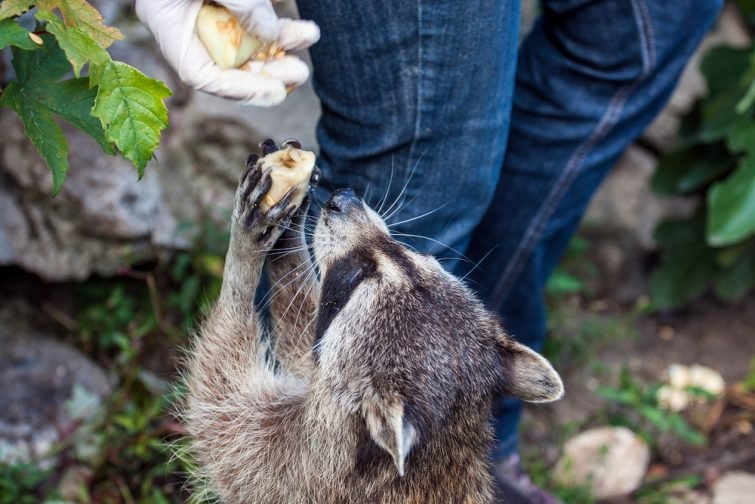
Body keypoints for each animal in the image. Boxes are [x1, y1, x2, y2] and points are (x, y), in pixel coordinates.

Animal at [185, 144, 560, 502]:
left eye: (356, 278)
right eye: (408, 254)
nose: (343, 199)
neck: (444, 441)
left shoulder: (304, 472)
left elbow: (219, 399)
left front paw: (243, 259)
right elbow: (306, 348)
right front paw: (290, 237)